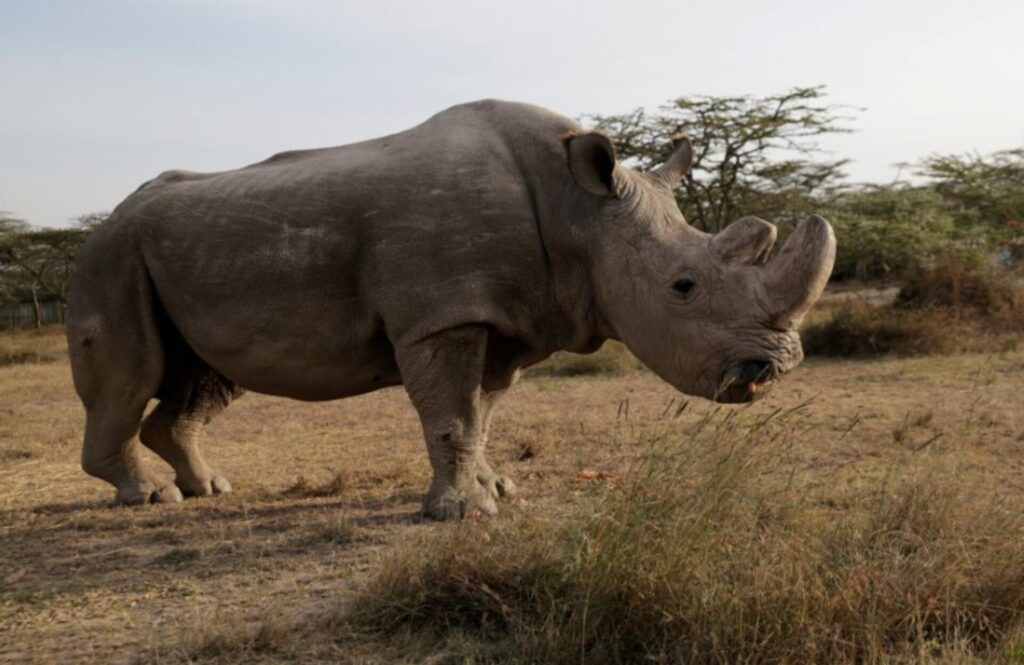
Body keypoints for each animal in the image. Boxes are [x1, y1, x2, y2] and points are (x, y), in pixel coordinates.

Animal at [66, 99, 835, 519]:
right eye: (684, 286)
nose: (773, 370)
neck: (579, 212)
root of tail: (104, 220)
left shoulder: (507, 318)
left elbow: (482, 415)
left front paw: (499, 488)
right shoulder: (441, 315)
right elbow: (452, 416)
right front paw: (461, 514)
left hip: (175, 255)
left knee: (203, 379)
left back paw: (208, 489)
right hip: (110, 258)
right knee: (132, 374)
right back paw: (151, 498)